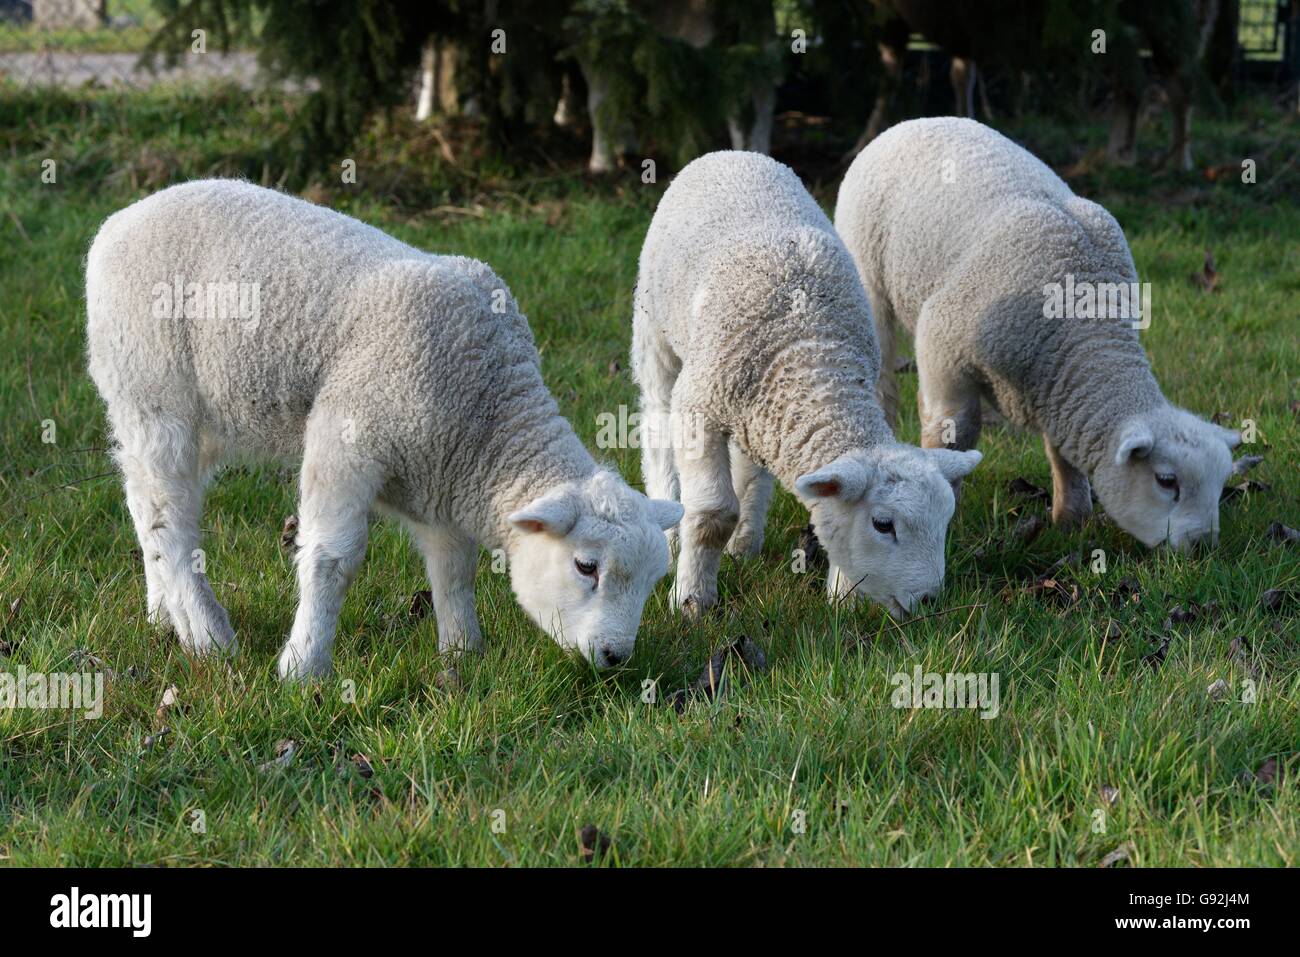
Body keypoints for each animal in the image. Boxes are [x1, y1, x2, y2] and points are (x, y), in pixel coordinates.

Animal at [86, 175, 686, 676]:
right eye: (587, 567)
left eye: (654, 580)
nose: (615, 657)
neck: (485, 411)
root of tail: (117, 222)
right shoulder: (345, 440)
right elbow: (331, 562)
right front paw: (303, 667)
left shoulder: (440, 478)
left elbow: (453, 568)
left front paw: (462, 655)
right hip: (153, 392)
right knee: (169, 518)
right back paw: (207, 635)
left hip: (196, 415)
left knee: (144, 502)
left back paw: (163, 613)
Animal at [634, 145, 977, 616]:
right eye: (883, 524)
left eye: (946, 521)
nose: (928, 603)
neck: (812, 351)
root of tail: (732, 153)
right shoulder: (699, 405)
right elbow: (710, 517)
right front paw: (692, 601)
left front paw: (843, 601)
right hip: (655, 331)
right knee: (655, 421)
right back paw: (669, 537)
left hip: (749, 412)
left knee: (750, 468)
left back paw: (744, 541)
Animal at [832, 117, 1237, 553]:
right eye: (1166, 481)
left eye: (1221, 486)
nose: (1204, 546)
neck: (1081, 322)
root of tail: (912, 122)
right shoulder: (945, 345)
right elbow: (955, 432)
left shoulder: (1059, 383)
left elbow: (1062, 452)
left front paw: (1071, 520)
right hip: (867, 275)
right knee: (881, 378)